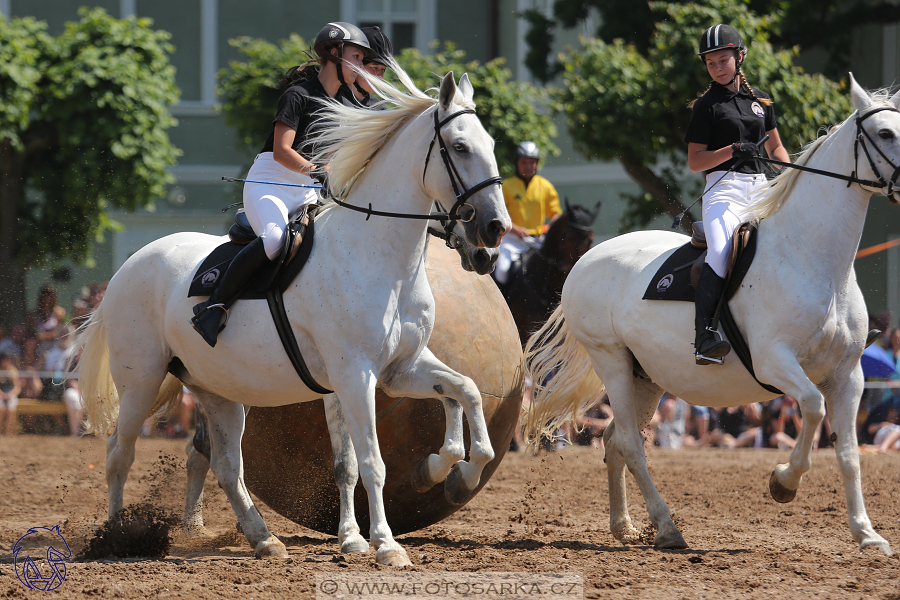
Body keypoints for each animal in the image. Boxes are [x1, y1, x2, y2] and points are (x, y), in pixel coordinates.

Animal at [75, 70, 512, 568]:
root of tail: (129, 265)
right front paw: (385, 544)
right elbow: (371, 462)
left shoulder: (401, 370)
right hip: (141, 382)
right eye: (459, 146)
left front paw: (449, 474)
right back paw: (115, 537)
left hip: (217, 391)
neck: (381, 256)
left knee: (227, 466)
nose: (495, 231)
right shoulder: (356, 376)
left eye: (491, 143)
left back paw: (263, 538)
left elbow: (466, 392)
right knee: (120, 453)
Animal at [524, 76, 896, 556]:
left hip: (645, 377)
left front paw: (866, 534)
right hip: (612, 362)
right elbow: (813, 408)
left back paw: (624, 526)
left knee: (615, 441)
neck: (812, 257)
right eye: (885, 133)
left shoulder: (848, 375)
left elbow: (848, 454)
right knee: (630, 444)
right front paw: (783, 482)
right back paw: (667, 528)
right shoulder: (775, 362)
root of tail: (586, 260)